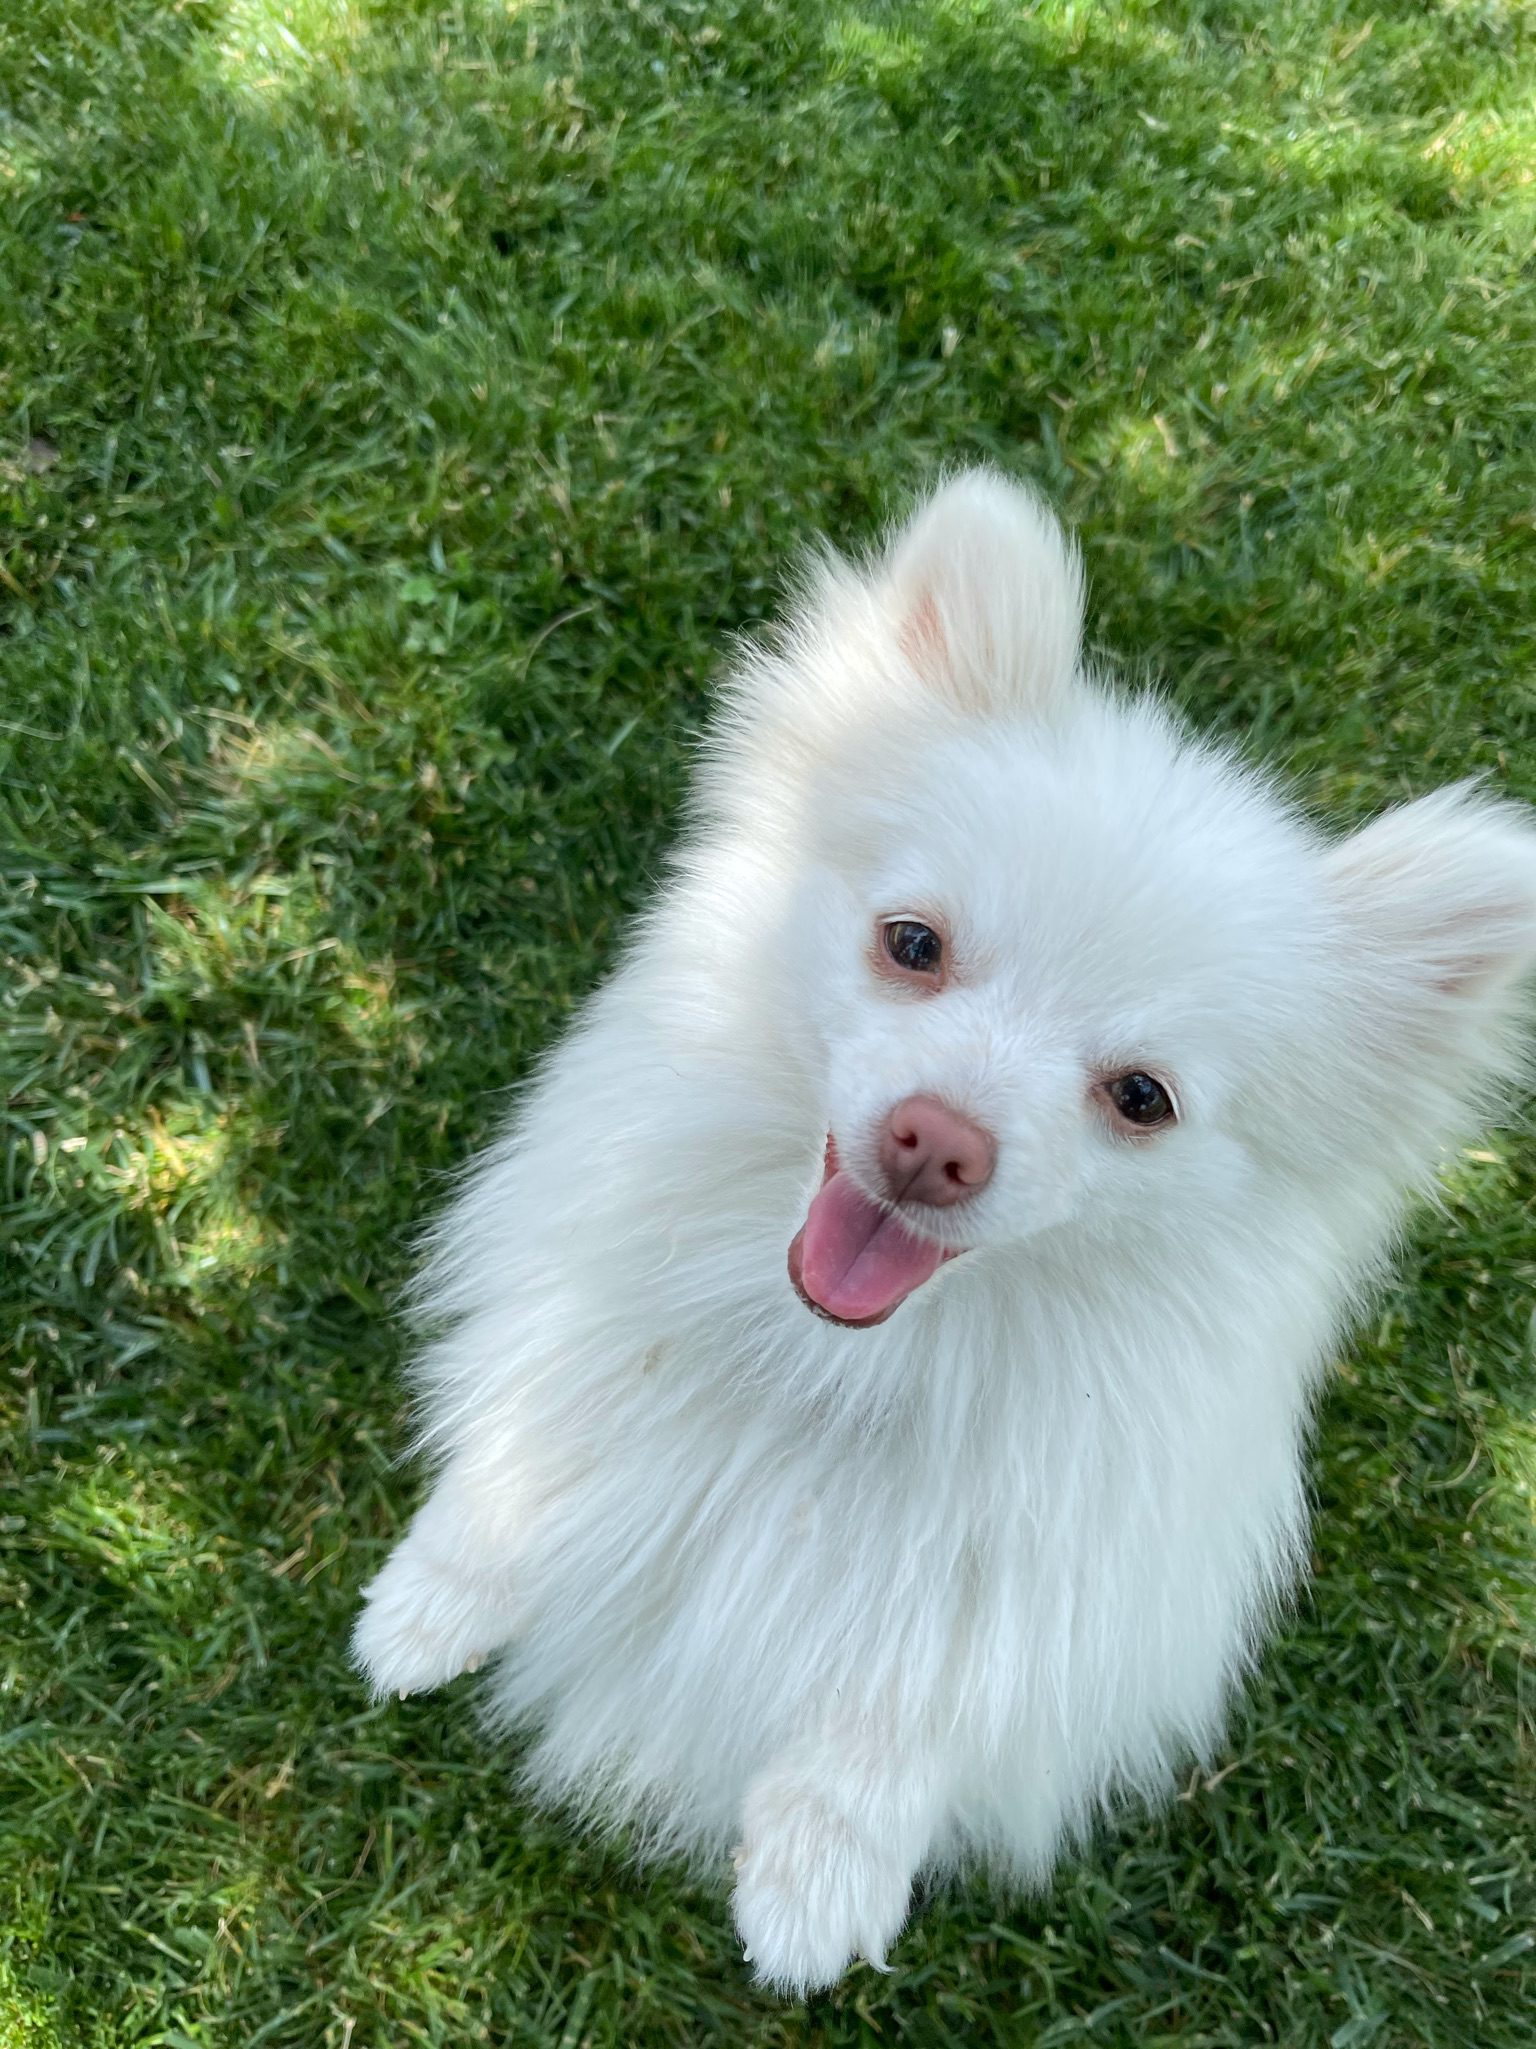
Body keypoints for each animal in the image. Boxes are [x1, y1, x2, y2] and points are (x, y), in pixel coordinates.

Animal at [354, 475, 1536, 1983]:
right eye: (913, 943)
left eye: (1142, 1097)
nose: (936, 1139)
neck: (847, 1360)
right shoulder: (591, 1312)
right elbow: (519, 1462)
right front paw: (425, 1610)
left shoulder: (1055, 1562)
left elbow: (923, 1693)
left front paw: (816, 1882)